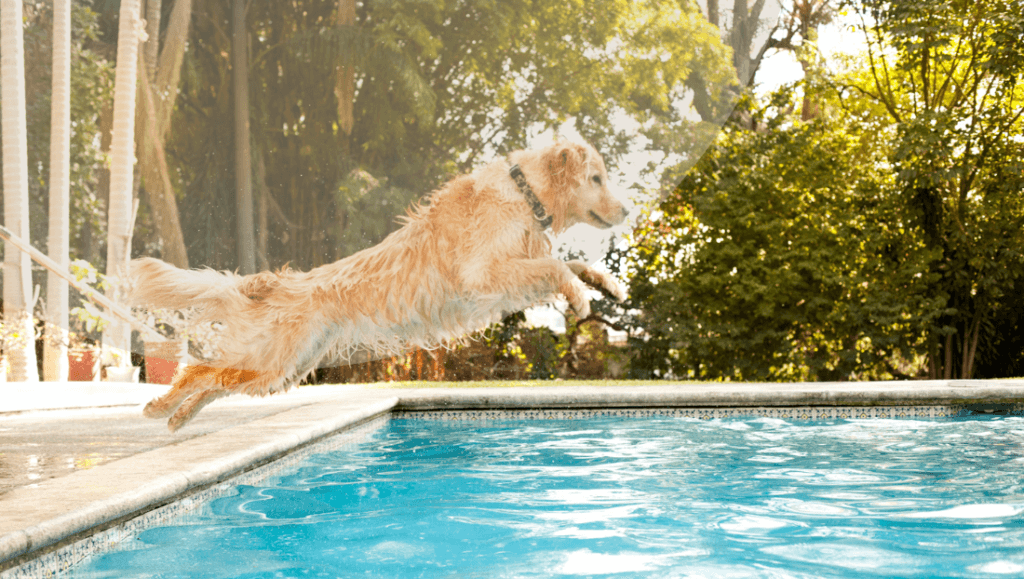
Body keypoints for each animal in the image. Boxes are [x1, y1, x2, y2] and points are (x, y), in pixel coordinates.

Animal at [128, 140, 622, 428]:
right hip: (272, 361)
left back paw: (174, 415)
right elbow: (557, 267)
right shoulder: (484, 274)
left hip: (280, 372)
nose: (626, 211)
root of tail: (273, 283)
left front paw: (608, 285)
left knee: (212, 380)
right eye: (596, 178)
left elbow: (571, 261)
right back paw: (162, 408)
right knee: (200, 371)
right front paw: (581, 298)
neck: (525, 193)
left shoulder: (514, 274)